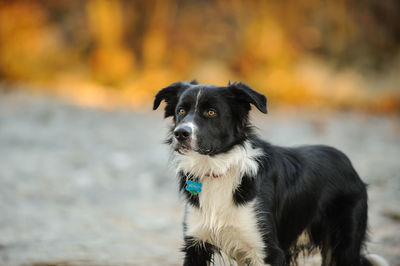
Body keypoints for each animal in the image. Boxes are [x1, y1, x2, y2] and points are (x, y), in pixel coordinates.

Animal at [153, 81, 388, 266]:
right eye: (181, 111)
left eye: (211, 113)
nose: (180, 133)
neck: (218, 170)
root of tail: (346, 161)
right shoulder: (196, 244)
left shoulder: (268, 250)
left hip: (344, 245)